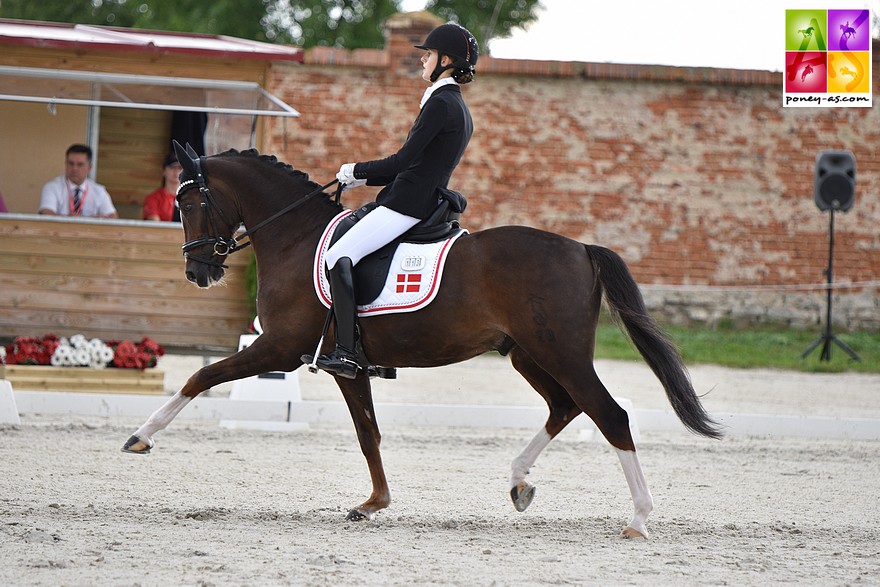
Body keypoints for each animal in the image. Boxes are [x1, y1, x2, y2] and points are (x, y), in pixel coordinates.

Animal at [120, 145, 720, 540]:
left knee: (609, 414)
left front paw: (140, 437)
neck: (295, 237)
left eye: (188, 204)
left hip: (562, 352)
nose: (198, 271)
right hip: (528, 354)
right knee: (565, 406)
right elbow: (368, 434)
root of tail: (581, 248)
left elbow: (201, 376)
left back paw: (638, 519)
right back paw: (519, 483)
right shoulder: (346, 365)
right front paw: (373, 504)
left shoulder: (279, 348)